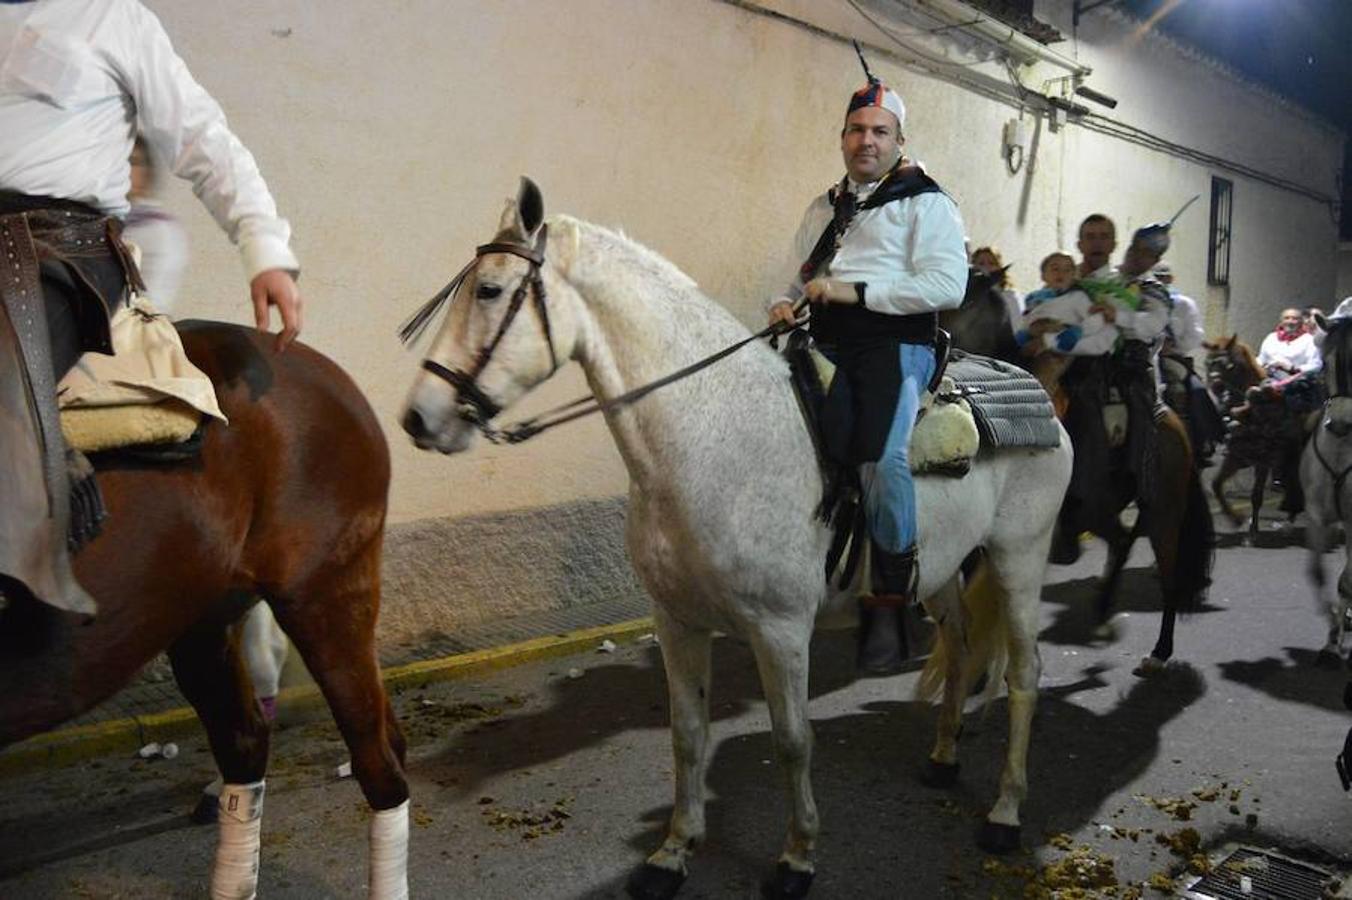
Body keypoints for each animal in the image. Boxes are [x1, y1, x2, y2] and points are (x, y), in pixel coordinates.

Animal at [394, 178, 1070, 891]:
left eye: (490, 290)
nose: (418, 418)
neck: (717, 443)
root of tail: (1043, 403)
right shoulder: (677, 622)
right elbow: (688, 735)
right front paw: (673, 851)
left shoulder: (781, 631)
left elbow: (793, 740)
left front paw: (796, 856)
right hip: (940, 571)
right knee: (962, 649)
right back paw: (942, 757)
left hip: (1019, 560)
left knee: (1024, 673)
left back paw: (1004, 814)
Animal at [940, 270, 1216, 670]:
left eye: (961, 295)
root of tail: (1173, 422)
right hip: (1106, 506)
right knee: (1121, 541)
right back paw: (1102, 609)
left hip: (1162, 512)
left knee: (1166, 574)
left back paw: (1158, 651)